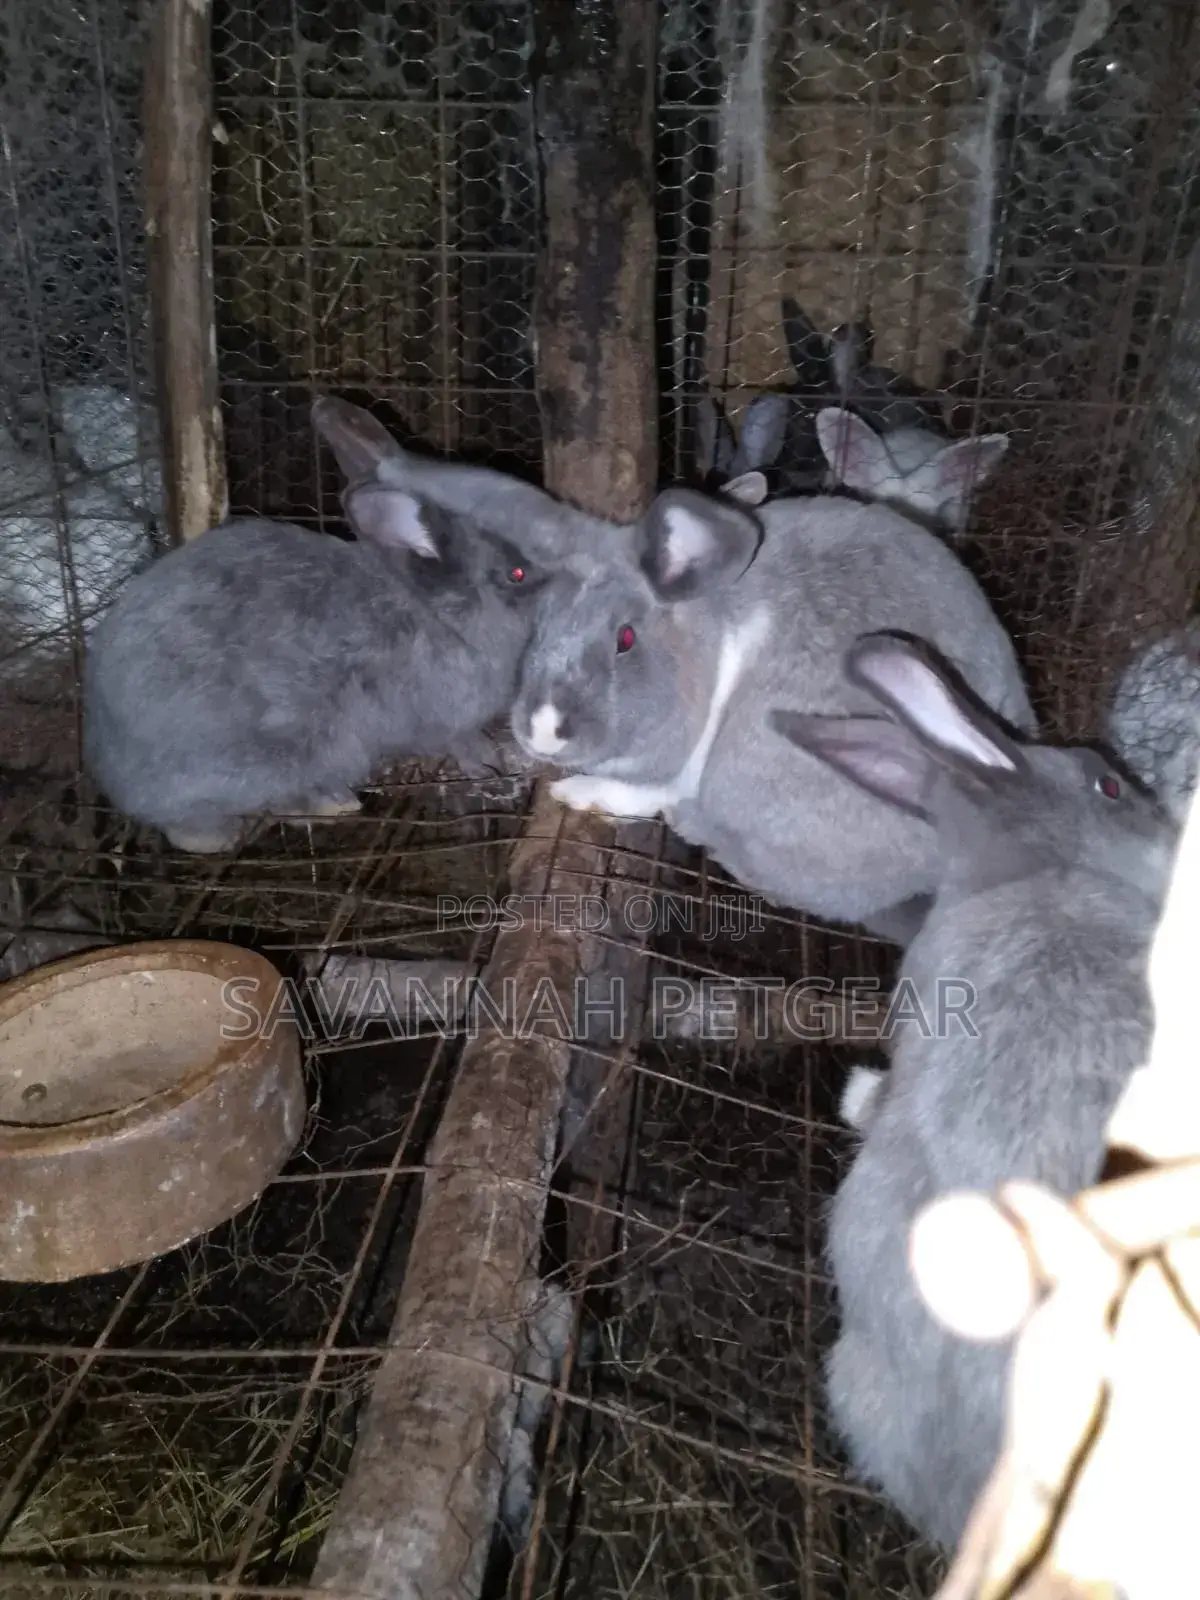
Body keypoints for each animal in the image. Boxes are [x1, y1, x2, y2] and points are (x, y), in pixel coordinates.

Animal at [83, 396, 612, 854]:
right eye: (517, 573)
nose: (583, 576)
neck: (440, 614)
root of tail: (115, 771)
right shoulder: (435, 716)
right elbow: (455, 740)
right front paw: (483, 759)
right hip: (266, 758)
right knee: (197, 829)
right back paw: (322, 805)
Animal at [509, 481, 1037, 947]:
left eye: (625, 639)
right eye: (538, 627)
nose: (542, 731)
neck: (714, 642)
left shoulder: (678, 772)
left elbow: (637, 794)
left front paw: (575, 792)